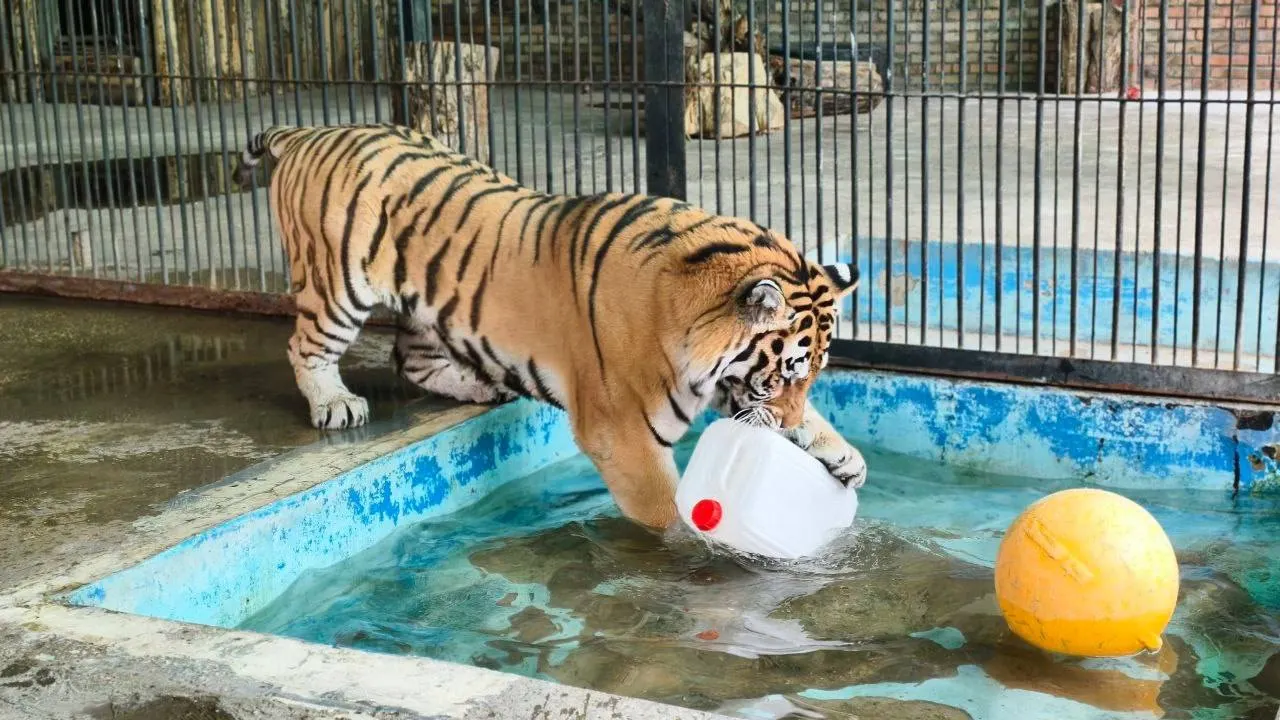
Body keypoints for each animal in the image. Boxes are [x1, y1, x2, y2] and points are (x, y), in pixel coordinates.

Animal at [235, 123, 866, 529]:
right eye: (782, 372)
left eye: (812, 373)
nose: (786, 420)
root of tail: (309, 132)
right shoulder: (623, 434)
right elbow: (666, 512)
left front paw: (843, 457)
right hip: (335, 286)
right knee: (306, 346)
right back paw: (334, 403)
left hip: (430, 304)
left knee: (410, 358)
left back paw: (481, 385)